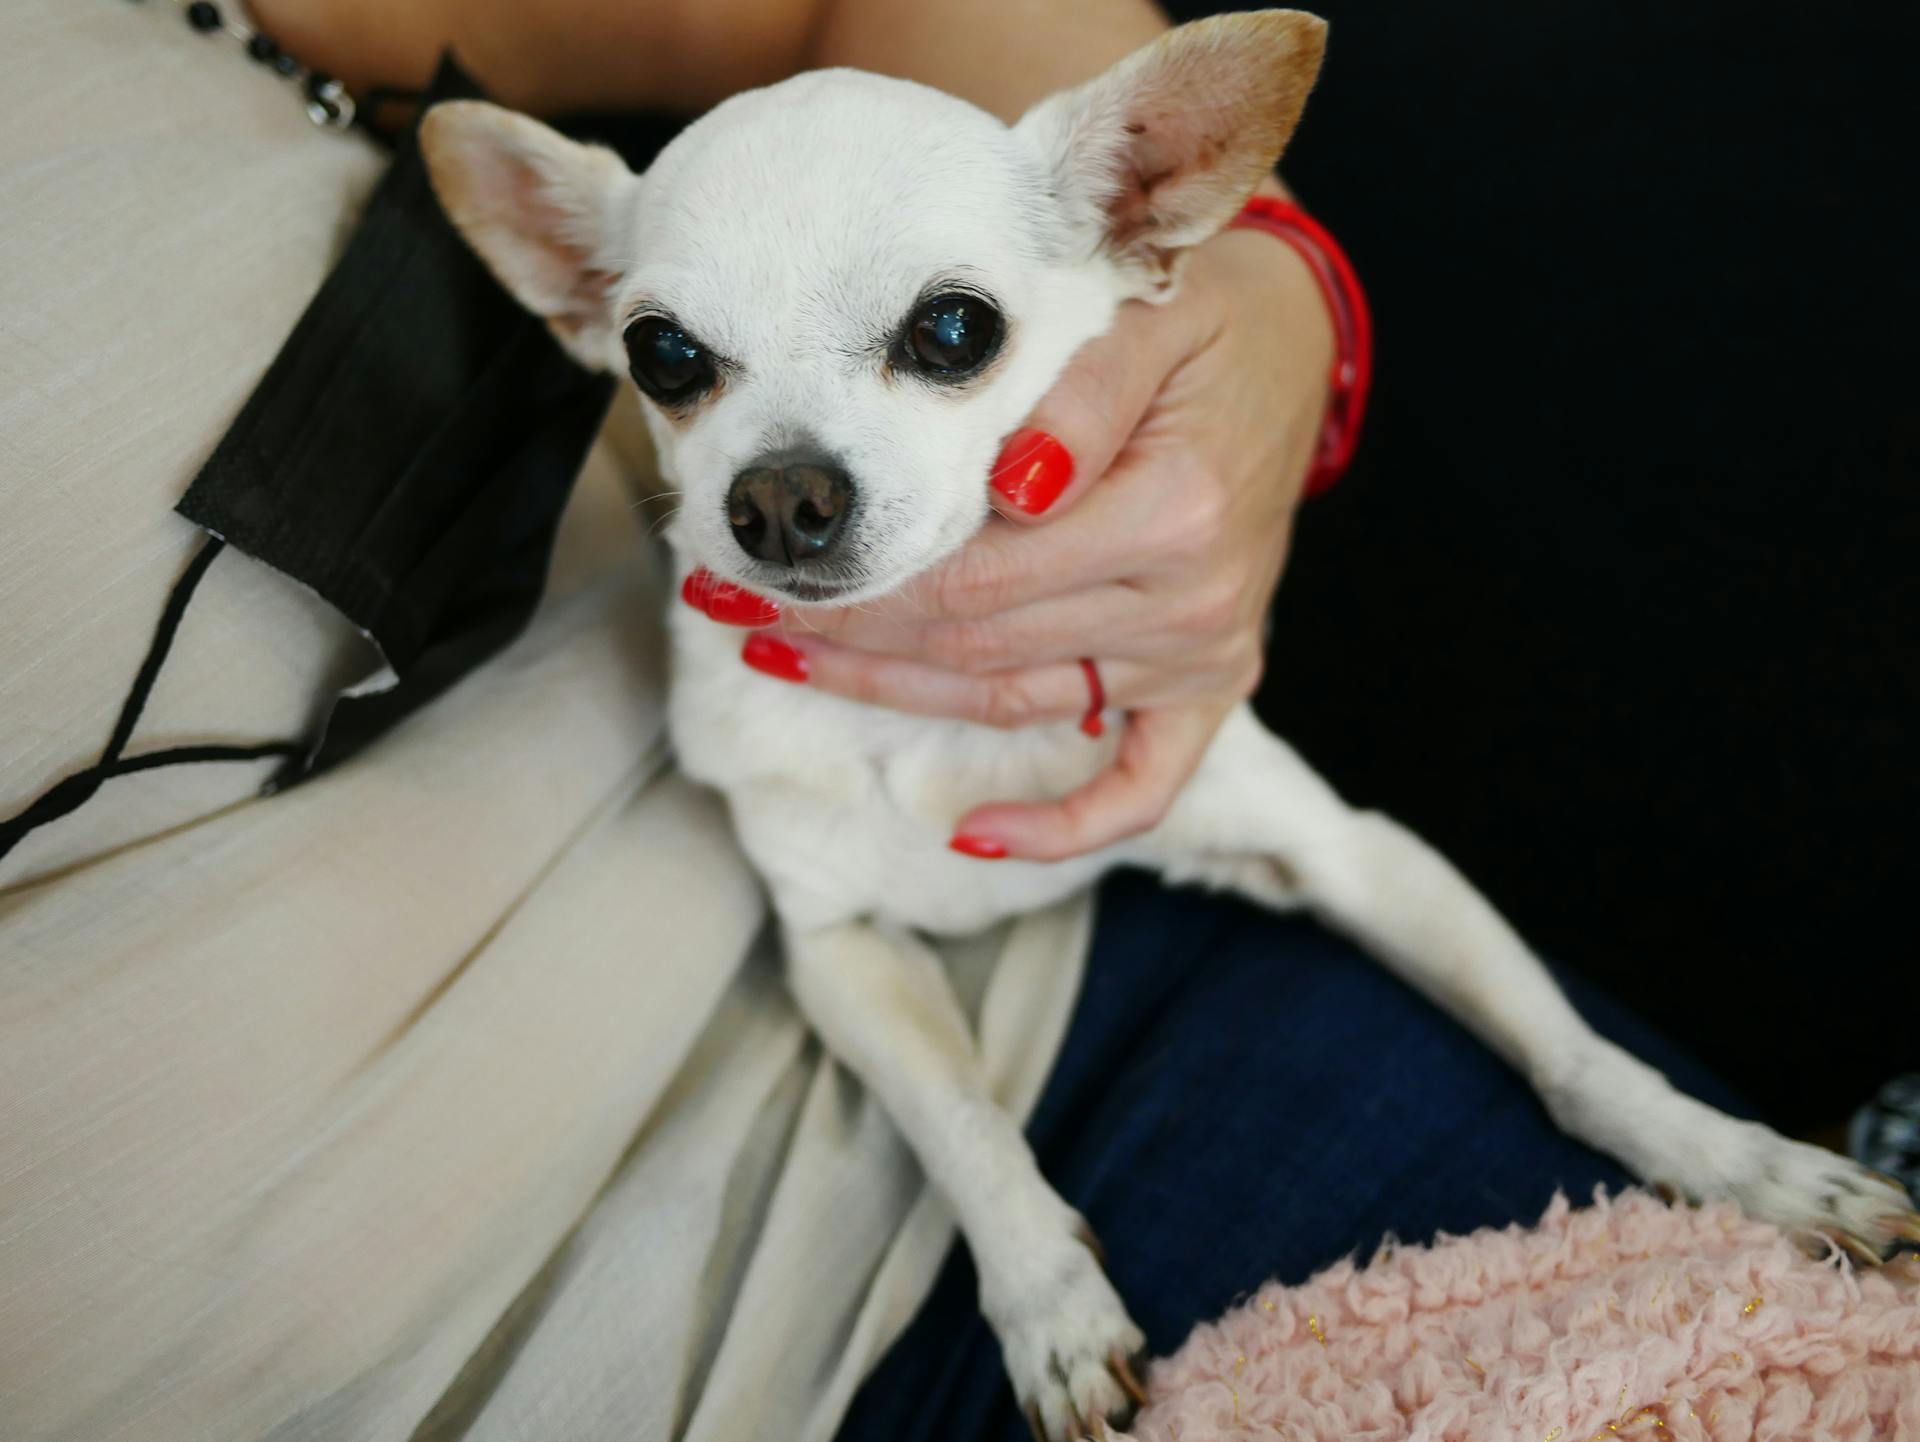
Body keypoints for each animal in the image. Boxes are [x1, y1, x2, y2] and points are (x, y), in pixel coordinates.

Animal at [424, 14, 1920, 1442]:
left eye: (954, 331)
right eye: (663, 356)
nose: (781, 496)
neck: (943, 729)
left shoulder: (1352, 852)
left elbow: (1569, 1051)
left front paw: (1739, 1161)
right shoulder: (840, 950)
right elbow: (966, 1121)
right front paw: (1050, 1303)